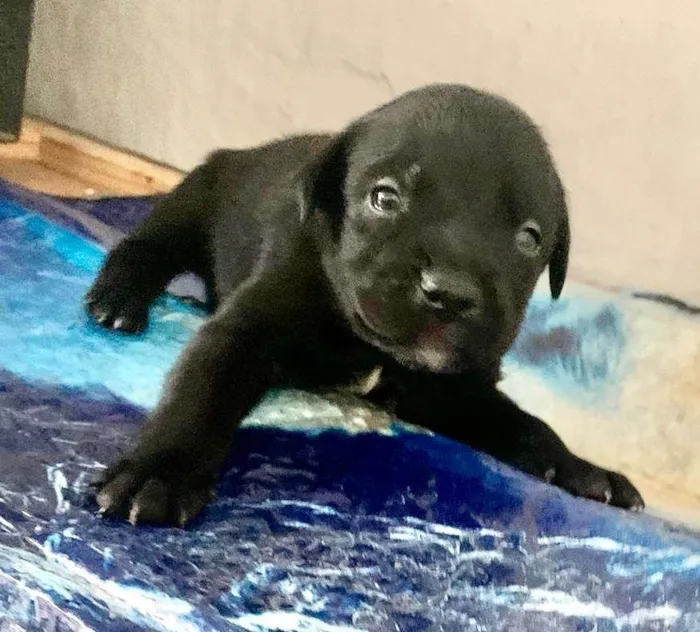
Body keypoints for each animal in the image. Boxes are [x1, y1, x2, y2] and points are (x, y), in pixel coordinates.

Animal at [85, 85, 644, 528]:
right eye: (385, 198)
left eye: (529, 239)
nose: (450, 291)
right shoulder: (246, 332)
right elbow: (204, 392)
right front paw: (161, 472)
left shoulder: (457, 394)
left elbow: (524, 423)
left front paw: (582, 469)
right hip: (194, 200)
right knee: (144, 248)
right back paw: (118, 298)